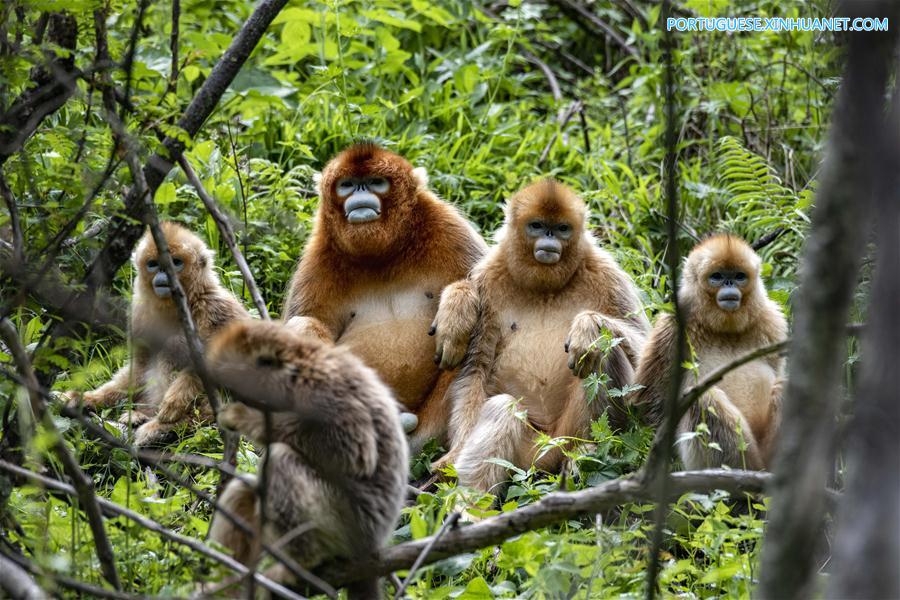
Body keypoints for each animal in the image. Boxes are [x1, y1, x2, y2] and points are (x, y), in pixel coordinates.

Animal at [64, 222, 248, 446]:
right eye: (153, 264)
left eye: (175, 263)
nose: (163, 275)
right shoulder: (139, 312)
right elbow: (139, 364)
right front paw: (90, 398)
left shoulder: (216, 308)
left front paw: (175, 402)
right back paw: (141, 415)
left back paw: (165, 427)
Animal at [205, 319, 408, 598]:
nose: (233, 397)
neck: (298, 368)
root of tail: (373, 545)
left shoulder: (324, 388)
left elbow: (353, 451)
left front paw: (243, 417)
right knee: (244, 490)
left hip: (347, 525)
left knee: (280, 459)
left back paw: (302, 564)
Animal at [282, 142, 487, 452]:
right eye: (347, 185)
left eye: (376, 182)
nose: (360, 192)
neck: (383, 258)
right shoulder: (317, 261)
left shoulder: (446, 226)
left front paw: (455, 314)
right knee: (301, 326)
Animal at [432, 179, 649, 492]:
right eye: (537, 226)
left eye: (561, 228)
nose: (549, 238)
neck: (546, 288)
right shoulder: (489, 279)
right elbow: (477, 368)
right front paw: (455, 454)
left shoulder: (605, 271)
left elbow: (645, 357)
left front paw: (587, 325)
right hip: (526, 456)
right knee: (503, 409)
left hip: (565, 436)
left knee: (602, 351)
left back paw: (583, 453)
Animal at [629, 234, 788, 470]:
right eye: (717, 277)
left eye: (739, 276)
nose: (729, 284)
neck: (726, 330)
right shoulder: (673, 327)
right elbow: (649, 400)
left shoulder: (772, 322)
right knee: (702, 398)